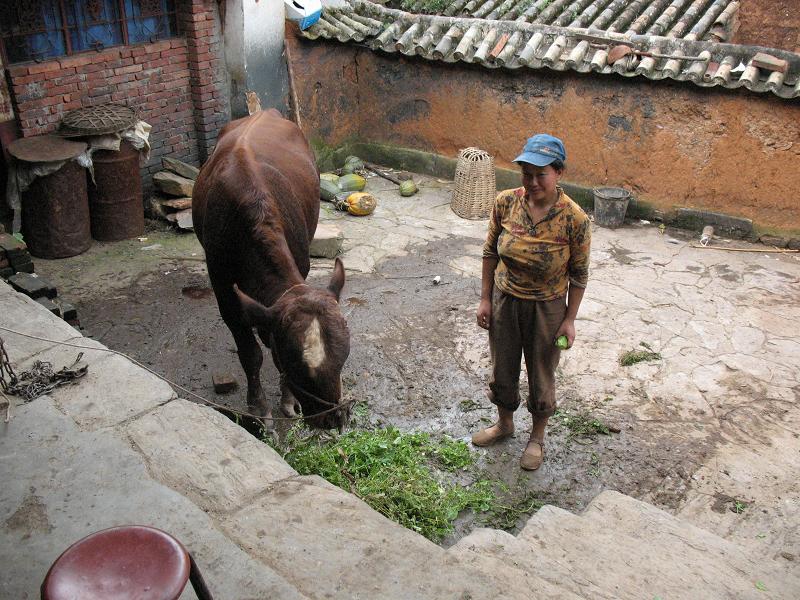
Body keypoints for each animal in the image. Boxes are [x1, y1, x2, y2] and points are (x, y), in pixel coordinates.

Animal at [192, 111, 352, 432]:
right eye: (295, 364)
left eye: (343, 357)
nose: (332, 418)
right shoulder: (222, 288)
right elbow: (250, 353)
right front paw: (259, 407)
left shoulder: (300, 264)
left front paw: (288, 400)